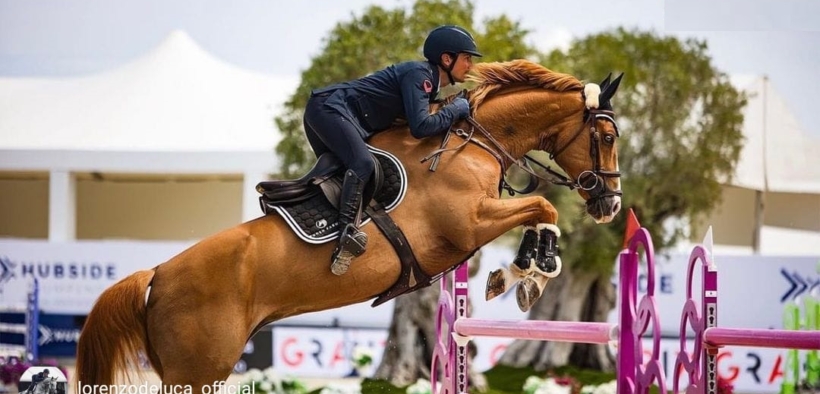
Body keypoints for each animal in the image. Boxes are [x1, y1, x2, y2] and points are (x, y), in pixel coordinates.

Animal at [75, 58, 620, 390]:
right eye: (609, 135)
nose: (611, 204)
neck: (472, 143)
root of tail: (156, 274)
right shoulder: (469, 224)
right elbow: (544, 210)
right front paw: (529, 273)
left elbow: (538, 213)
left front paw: (520, 275)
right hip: (197, 369)